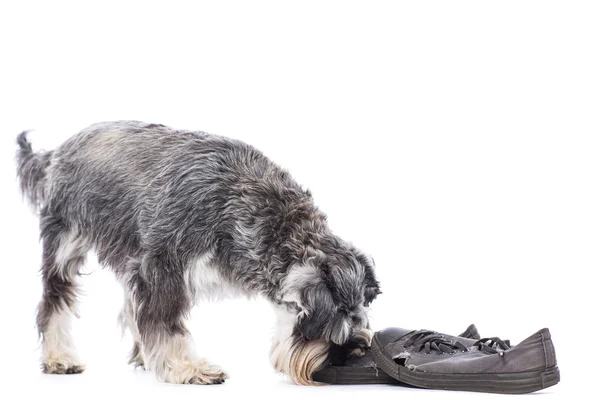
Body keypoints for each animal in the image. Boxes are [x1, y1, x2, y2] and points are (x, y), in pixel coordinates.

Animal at [15, 121, 380, 384]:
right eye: (329, 320)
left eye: (361, 316)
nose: (347, 354)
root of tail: (57, 152)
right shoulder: (163, 268)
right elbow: (165, 323)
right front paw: (187, 368)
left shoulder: (147, 267)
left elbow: (147, 315)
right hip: (65, 245)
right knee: (54, 302)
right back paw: (59, 358)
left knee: (129, 307)